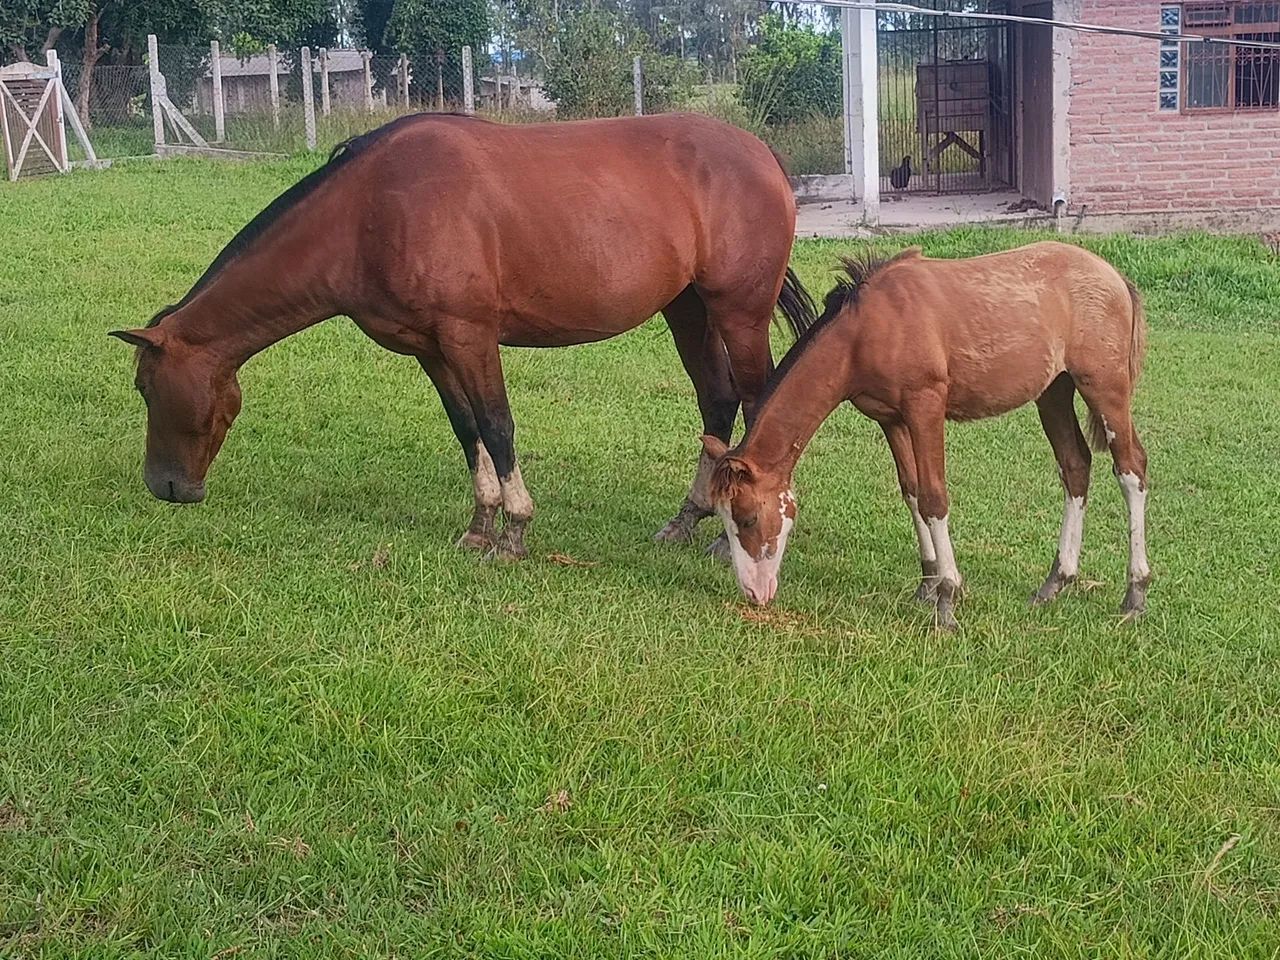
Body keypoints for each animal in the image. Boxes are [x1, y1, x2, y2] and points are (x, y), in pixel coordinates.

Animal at [109, 112, 817, 559]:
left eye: (145, 387)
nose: (166, 487)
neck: (371, 208)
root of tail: (763, 155)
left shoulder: (470, 334)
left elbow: (498, 425)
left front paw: (515, 531)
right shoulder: (431, 347)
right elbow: (467, 428)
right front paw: (480, 526)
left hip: (738, 311)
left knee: (756, 401)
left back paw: (739, 531)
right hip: (687, 308)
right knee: (716, 399)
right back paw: (688, 520)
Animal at [700, 242, 1150, 629]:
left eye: (748, 517)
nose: (754, 593)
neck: (868, 329)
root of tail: (1115, 276)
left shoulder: (926, 407)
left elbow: (935, 498)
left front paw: (948, 599)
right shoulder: (892, 419)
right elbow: (913, 492)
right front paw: (927, 585)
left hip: (1104, 388)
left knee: (1131, 469)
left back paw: (1135, 594)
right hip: (1054, 390)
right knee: (1075, 466)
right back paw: (1056, 581)